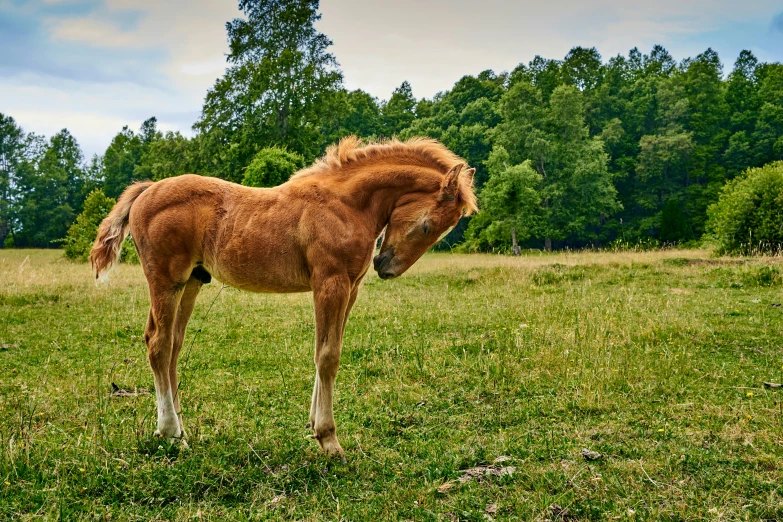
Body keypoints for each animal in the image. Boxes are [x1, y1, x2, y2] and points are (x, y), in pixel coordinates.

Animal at [92, 135, 478, 456]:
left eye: (443, 232)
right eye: (428, 226)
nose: (386, 267)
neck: (346, 205)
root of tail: (147, 190)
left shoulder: (350, 289)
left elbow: (327, 351)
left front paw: (314, 426)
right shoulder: (331, 283)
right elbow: (328, 356)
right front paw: (329, 439)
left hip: (190, 283)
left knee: (172, 344)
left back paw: (179, 431)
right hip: (166, 281)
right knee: (158, 344)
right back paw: (171, 432)